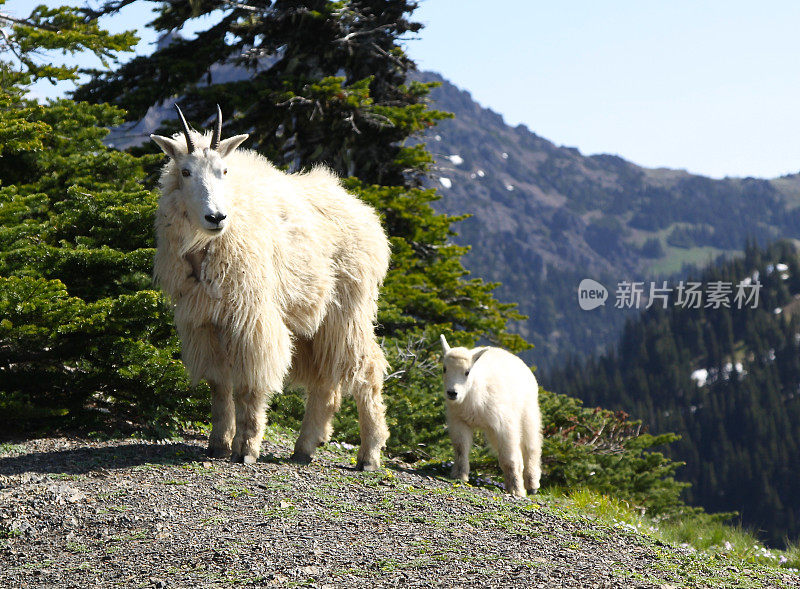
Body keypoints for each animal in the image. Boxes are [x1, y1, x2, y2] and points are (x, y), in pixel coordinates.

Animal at [150, 103, 390, 466]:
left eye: (223, 170)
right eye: (186, 171)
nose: (216, 217)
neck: (206, 247)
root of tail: (370, 219)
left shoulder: (251, 319)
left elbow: (250, 385)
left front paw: (246, 449)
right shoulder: (205, 322)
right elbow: (218, 385)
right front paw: (218, 444)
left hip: (348, 311)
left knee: (368, 369)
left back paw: (369, 454)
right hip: (312, 320)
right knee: (325, 382)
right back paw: (305, 447)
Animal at [438, 334, 544, 494]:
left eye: (467, 372)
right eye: (444, 368)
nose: (452, 393)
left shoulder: (504, 425)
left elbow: (509, 458)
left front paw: (517, 490)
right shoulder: (459, 421)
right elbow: (461, 448)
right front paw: (459, 475)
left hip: (528, 412)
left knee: (531, 446)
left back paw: (532, 484)